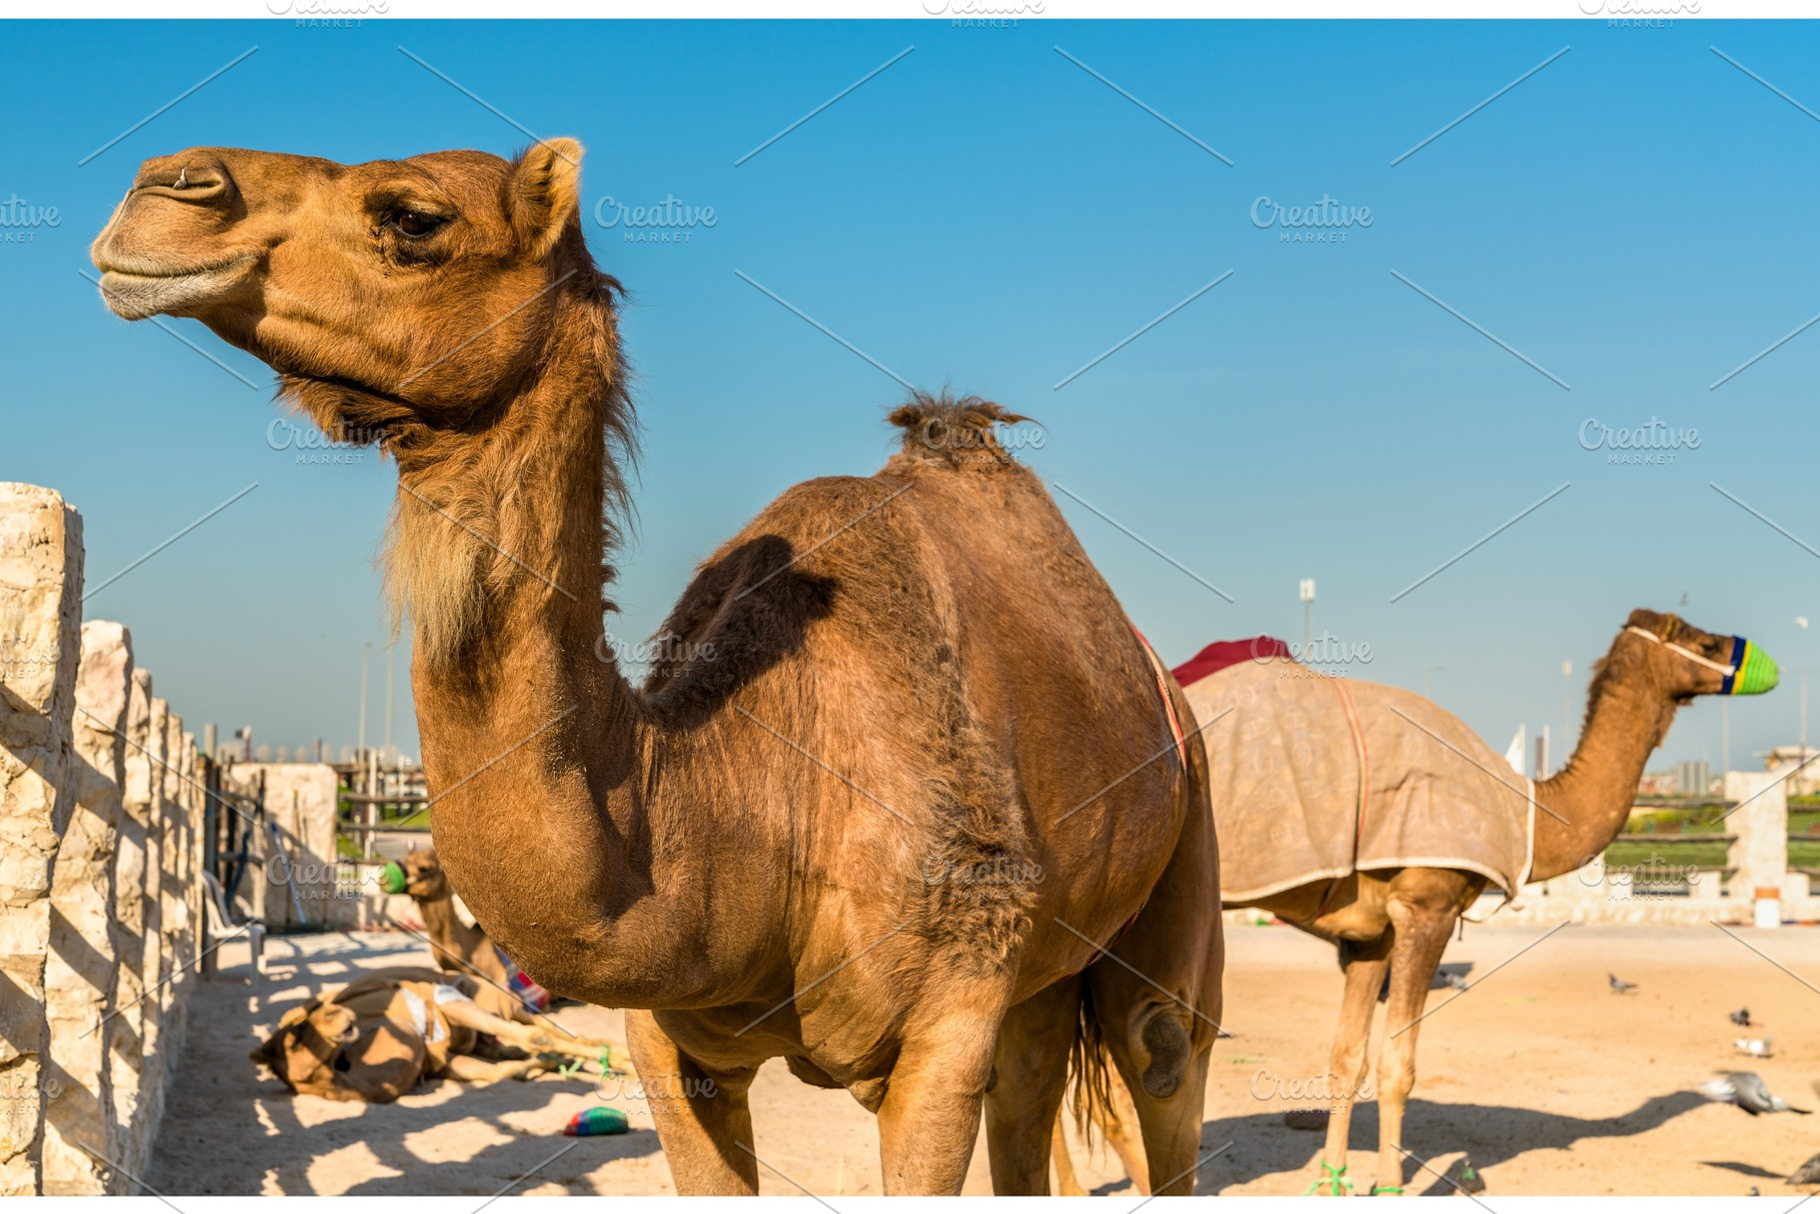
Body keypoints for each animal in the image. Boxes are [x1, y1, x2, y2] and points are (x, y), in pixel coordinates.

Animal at [250, 967, 618, 1103]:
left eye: (297, 1034)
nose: (341, 1016)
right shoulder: (443, 1059)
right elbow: (499, 1072)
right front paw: (545, 1063)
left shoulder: (447, 1003)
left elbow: (534, 1039)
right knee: (514, 1043)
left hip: (494, 1002)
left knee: (542, 1028)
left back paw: (612, 1055)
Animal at [1174, 609, 1775, 1195]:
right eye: (1705, 642)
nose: (1762, 662)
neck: (1524, 812)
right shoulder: (1428, 907)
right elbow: (1398, 1064)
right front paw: (1388, 1186)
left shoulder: (1370, 934)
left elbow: (1347, 1059)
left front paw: (1332, 1185)